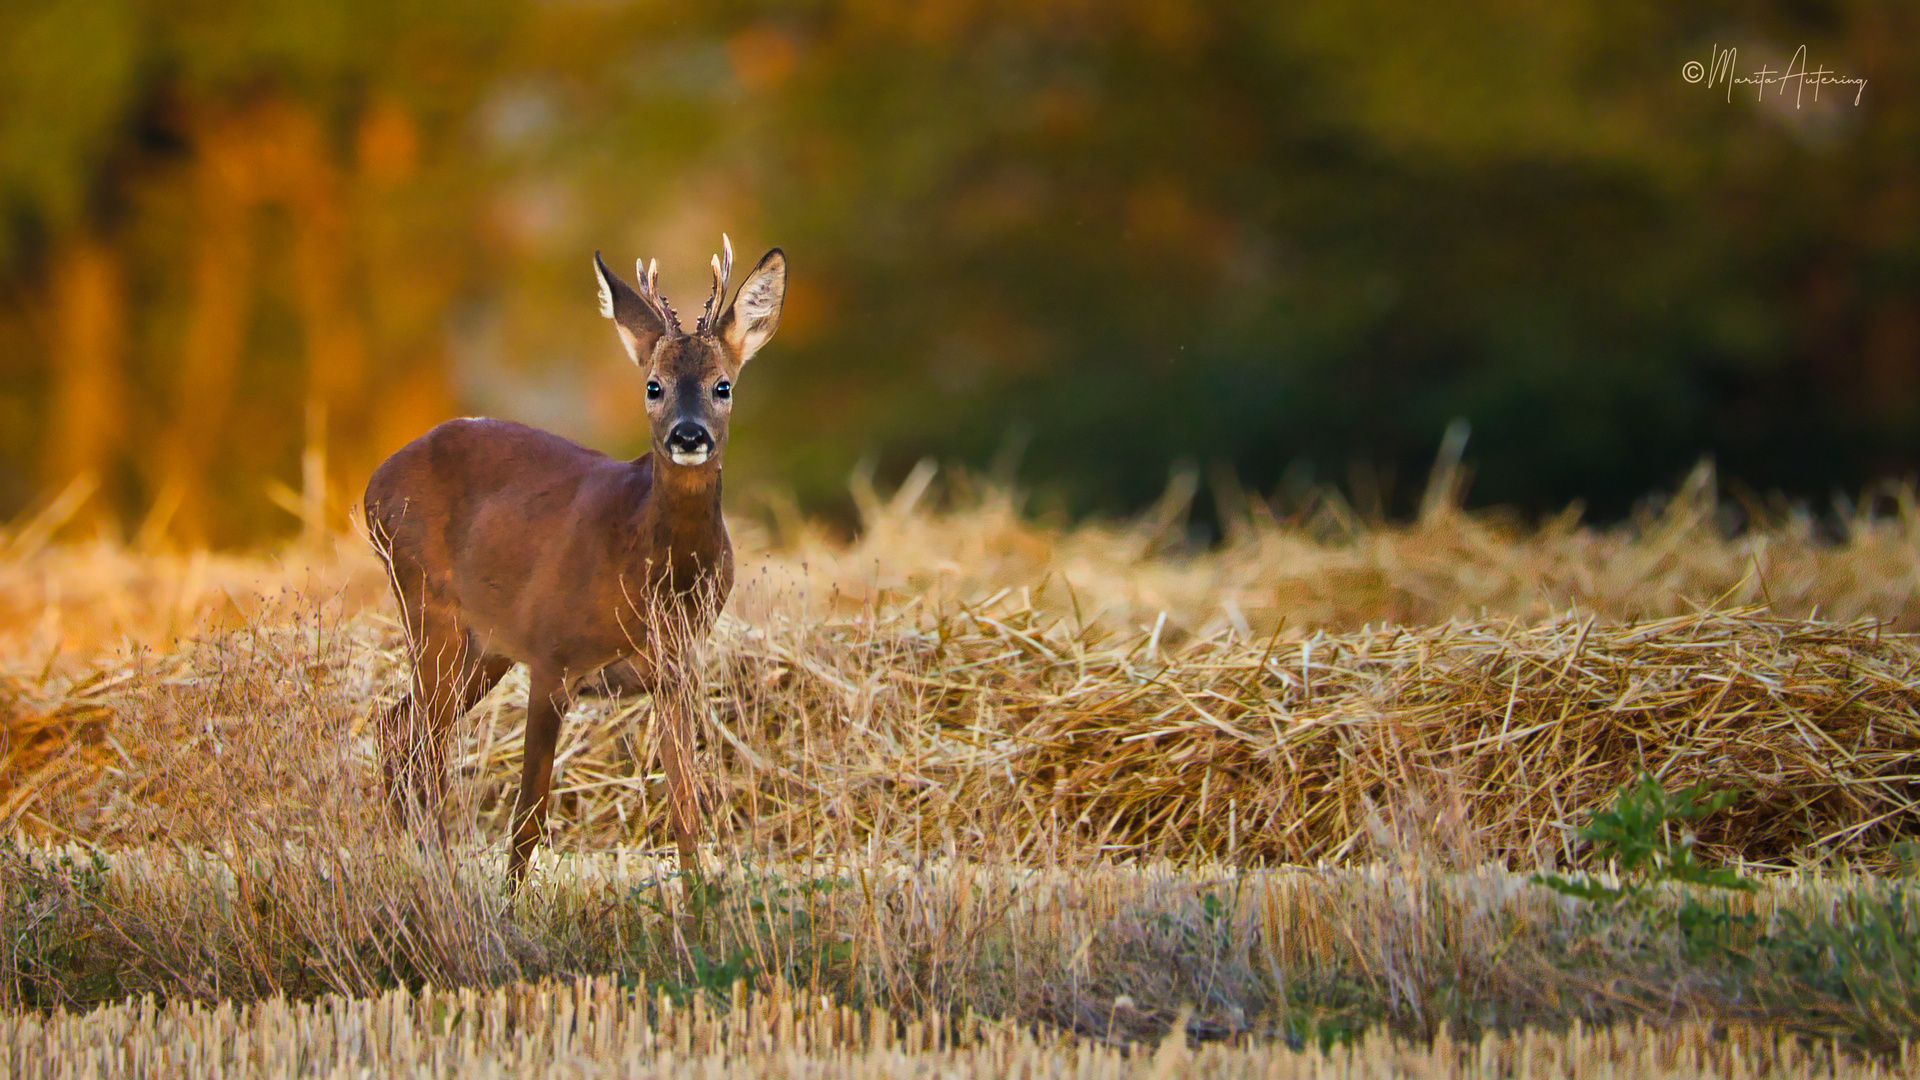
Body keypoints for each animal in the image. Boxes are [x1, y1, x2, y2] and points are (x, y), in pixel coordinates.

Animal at [362, 231, 783, 880]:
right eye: (653, 385)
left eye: (723, 385)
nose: (688, 436)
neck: (650, 581)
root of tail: (373, 484)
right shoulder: (551, 658)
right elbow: (527, 819)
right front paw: (510, 903)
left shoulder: (675, 671)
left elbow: (685, 810)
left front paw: (700, 903)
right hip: (431, 611)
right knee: (420, 744)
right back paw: (431, 869)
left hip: (484, 649)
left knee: (397, 730)